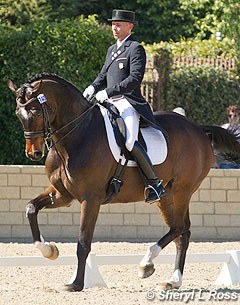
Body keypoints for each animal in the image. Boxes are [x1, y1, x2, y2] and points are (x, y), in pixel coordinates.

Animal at [7, 73, 240, 290]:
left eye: (37, 111)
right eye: (18, 113)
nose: (34, 153)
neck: (77, 136)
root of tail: (199, 129)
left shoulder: (91, 199)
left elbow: (83, 242)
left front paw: (76, 284)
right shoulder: (62, 194)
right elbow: (30, 208)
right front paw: (50, 251)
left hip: (182, 191)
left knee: (179, 227)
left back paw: (147, 264)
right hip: (166, 196)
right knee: (181, 232)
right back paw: (172, 280)